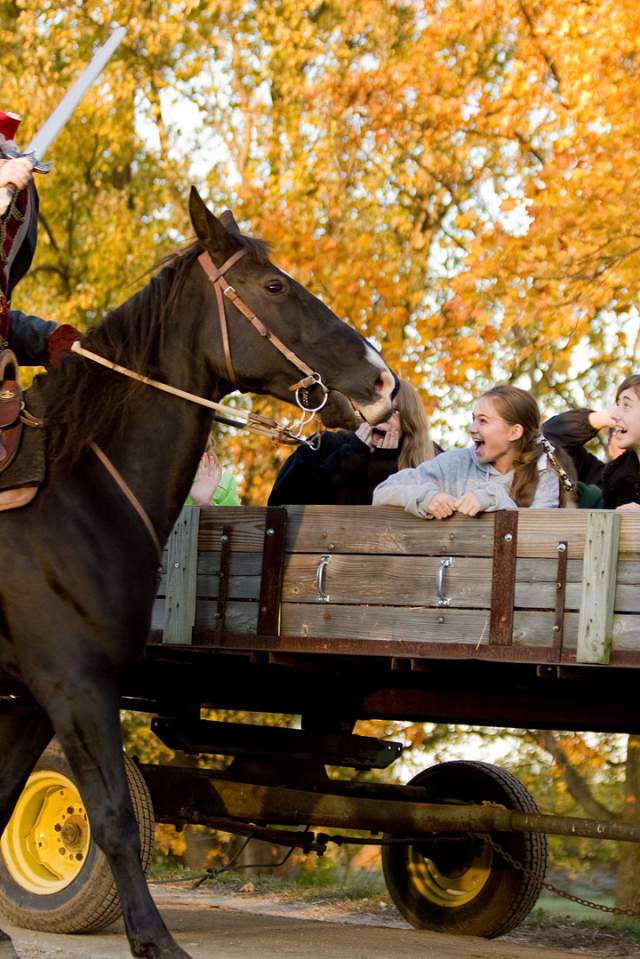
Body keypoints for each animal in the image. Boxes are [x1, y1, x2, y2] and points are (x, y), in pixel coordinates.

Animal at [0, 189, 396, 959]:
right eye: (273, 287)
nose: (381, 381)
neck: (76, 489)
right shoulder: (75, 683)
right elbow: (114, 818)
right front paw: (154, 939)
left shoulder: (30, 698)